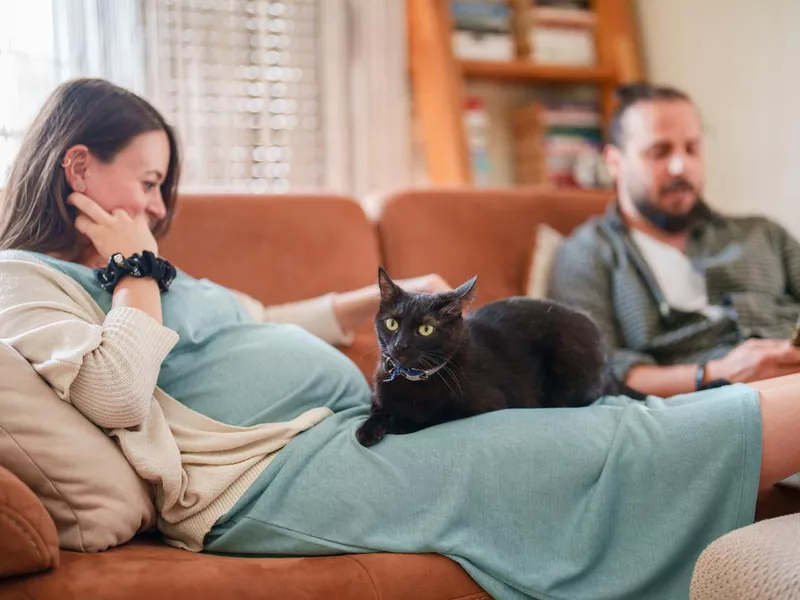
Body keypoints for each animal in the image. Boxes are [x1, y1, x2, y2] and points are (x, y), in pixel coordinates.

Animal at [354, 268, 620, 446]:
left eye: (425, 329)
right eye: (392, 323)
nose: (400, 345)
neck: (412, 380)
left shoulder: (488, 403)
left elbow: (436, 415)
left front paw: (399, 423)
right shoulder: (379, 394)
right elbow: (377, 410)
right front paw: (367, 430)